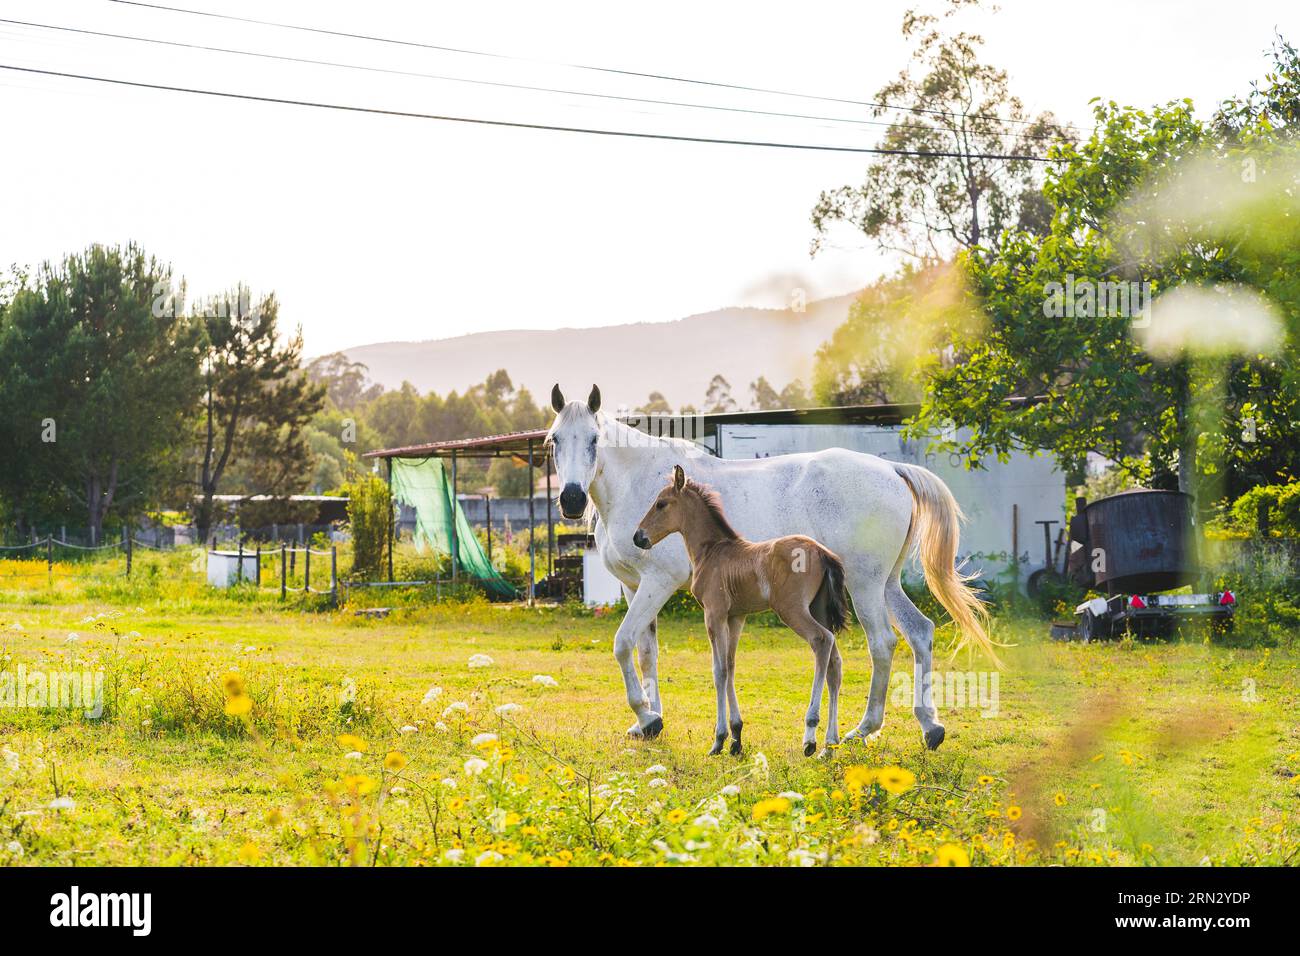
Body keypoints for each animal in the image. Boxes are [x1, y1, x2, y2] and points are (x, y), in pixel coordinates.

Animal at [631, 468, 852, 759]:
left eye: (661, 504)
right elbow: (731, 665)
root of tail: (822, 551)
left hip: (792, 610)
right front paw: (736, 737)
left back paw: (810, 736)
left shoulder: (713, 614)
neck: (712, 551)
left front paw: (719, 740)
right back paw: (830, 744)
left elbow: (719, 671)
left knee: (822, 641)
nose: (638, 537)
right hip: (818, 609)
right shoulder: (735, 617)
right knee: (834, 664)